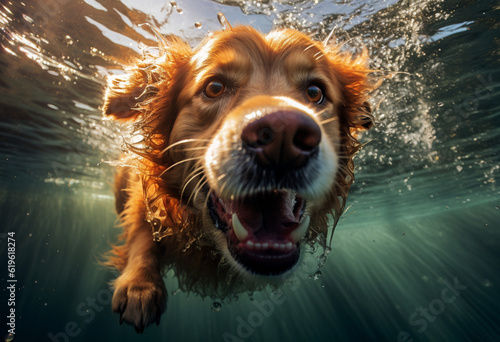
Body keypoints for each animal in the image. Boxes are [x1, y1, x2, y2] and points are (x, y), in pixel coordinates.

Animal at [102, 18, 376, 332]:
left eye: (315, 92)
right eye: (214, 87)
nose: (282, 133)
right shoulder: (145, 201)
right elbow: (141, 234)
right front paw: (140, 286)